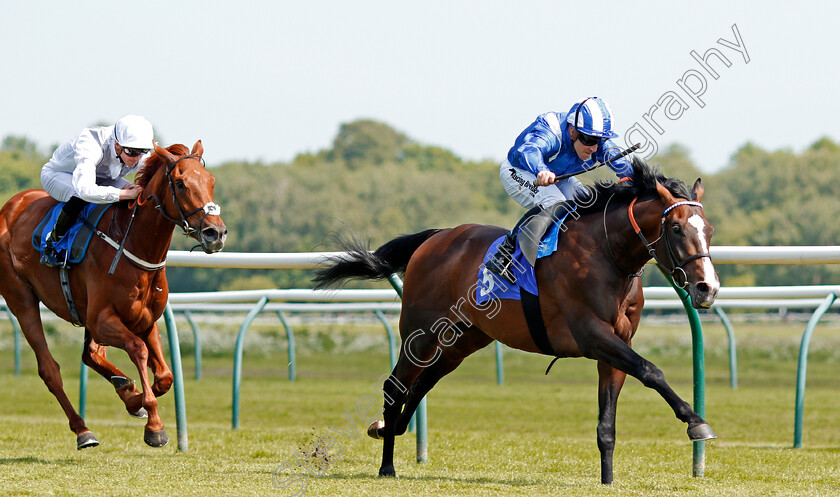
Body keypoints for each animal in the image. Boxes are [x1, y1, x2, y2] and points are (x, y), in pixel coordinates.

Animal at [0, 140, 226, 450]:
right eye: (180, 183)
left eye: (211, 181)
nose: (216, 232)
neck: (132, 244)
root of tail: (9, 207)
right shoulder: (102, 320)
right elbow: (139, 350)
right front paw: (153, 424)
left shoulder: (144, 321)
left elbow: (165, 376)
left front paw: (134, 398)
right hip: (21, 299)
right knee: (50, 369)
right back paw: (83, 430)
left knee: (91, 355)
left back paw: (123, 387)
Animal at [316, 160, 720, 484]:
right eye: (677, 229)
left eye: (709, 229)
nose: (708, 287)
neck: (607, 254)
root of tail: (435, 238)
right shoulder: (592, 335)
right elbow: (651, 371)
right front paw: (696, 421)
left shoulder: (617, 344)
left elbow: (608, 421)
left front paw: (608, 480)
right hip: (420, 334)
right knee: (394, 386)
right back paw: (387, 465)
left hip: (462, 340)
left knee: (422, 384)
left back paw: (389, 427)